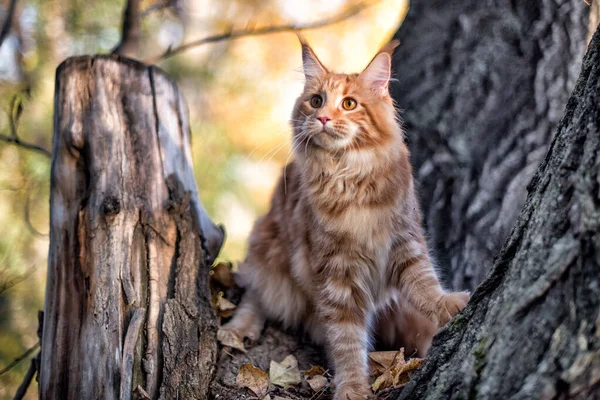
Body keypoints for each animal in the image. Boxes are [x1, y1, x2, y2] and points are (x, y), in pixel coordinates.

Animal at [218, 36, 472, 398]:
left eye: (349, 104)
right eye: (316, 101)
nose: (323, 117)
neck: (350, 178)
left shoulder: (405, 242)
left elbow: (424, 285)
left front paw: (446, 304)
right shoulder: (337, 273)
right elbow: (347, 340)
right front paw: (352, 386)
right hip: (268, 243)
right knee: (256, 290)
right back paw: (239, 328)